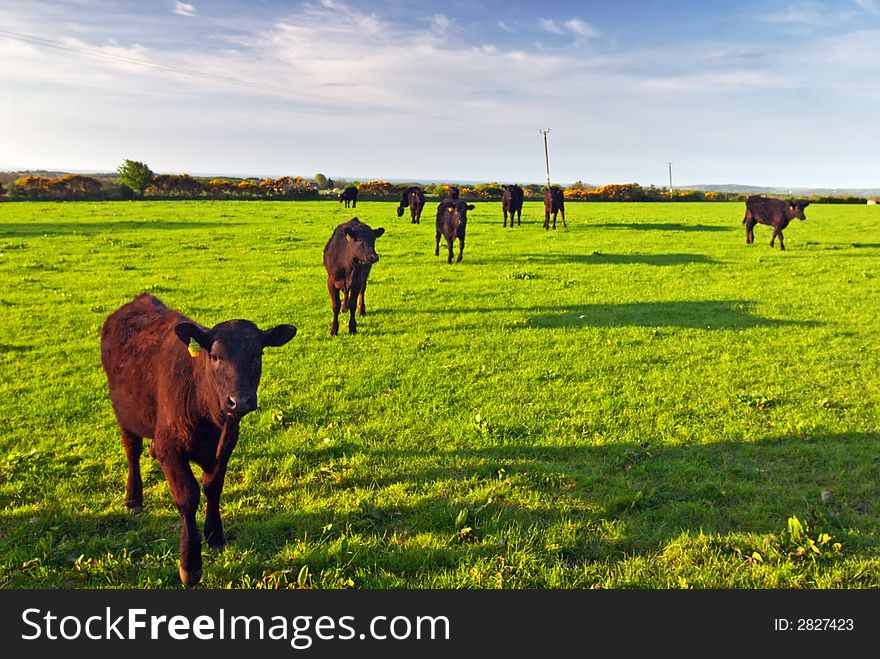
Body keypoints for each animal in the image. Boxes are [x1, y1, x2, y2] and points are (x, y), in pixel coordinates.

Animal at [100, 294, 296, 588]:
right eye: (214, 356)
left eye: (257, 354)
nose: (240, 401)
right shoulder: (171, 448)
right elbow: (188, 496)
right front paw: (190, 564)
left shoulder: (227, 443)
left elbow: (213, 487)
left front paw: (215, 535)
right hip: (124, 412)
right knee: (131, 449)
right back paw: (133, 498)